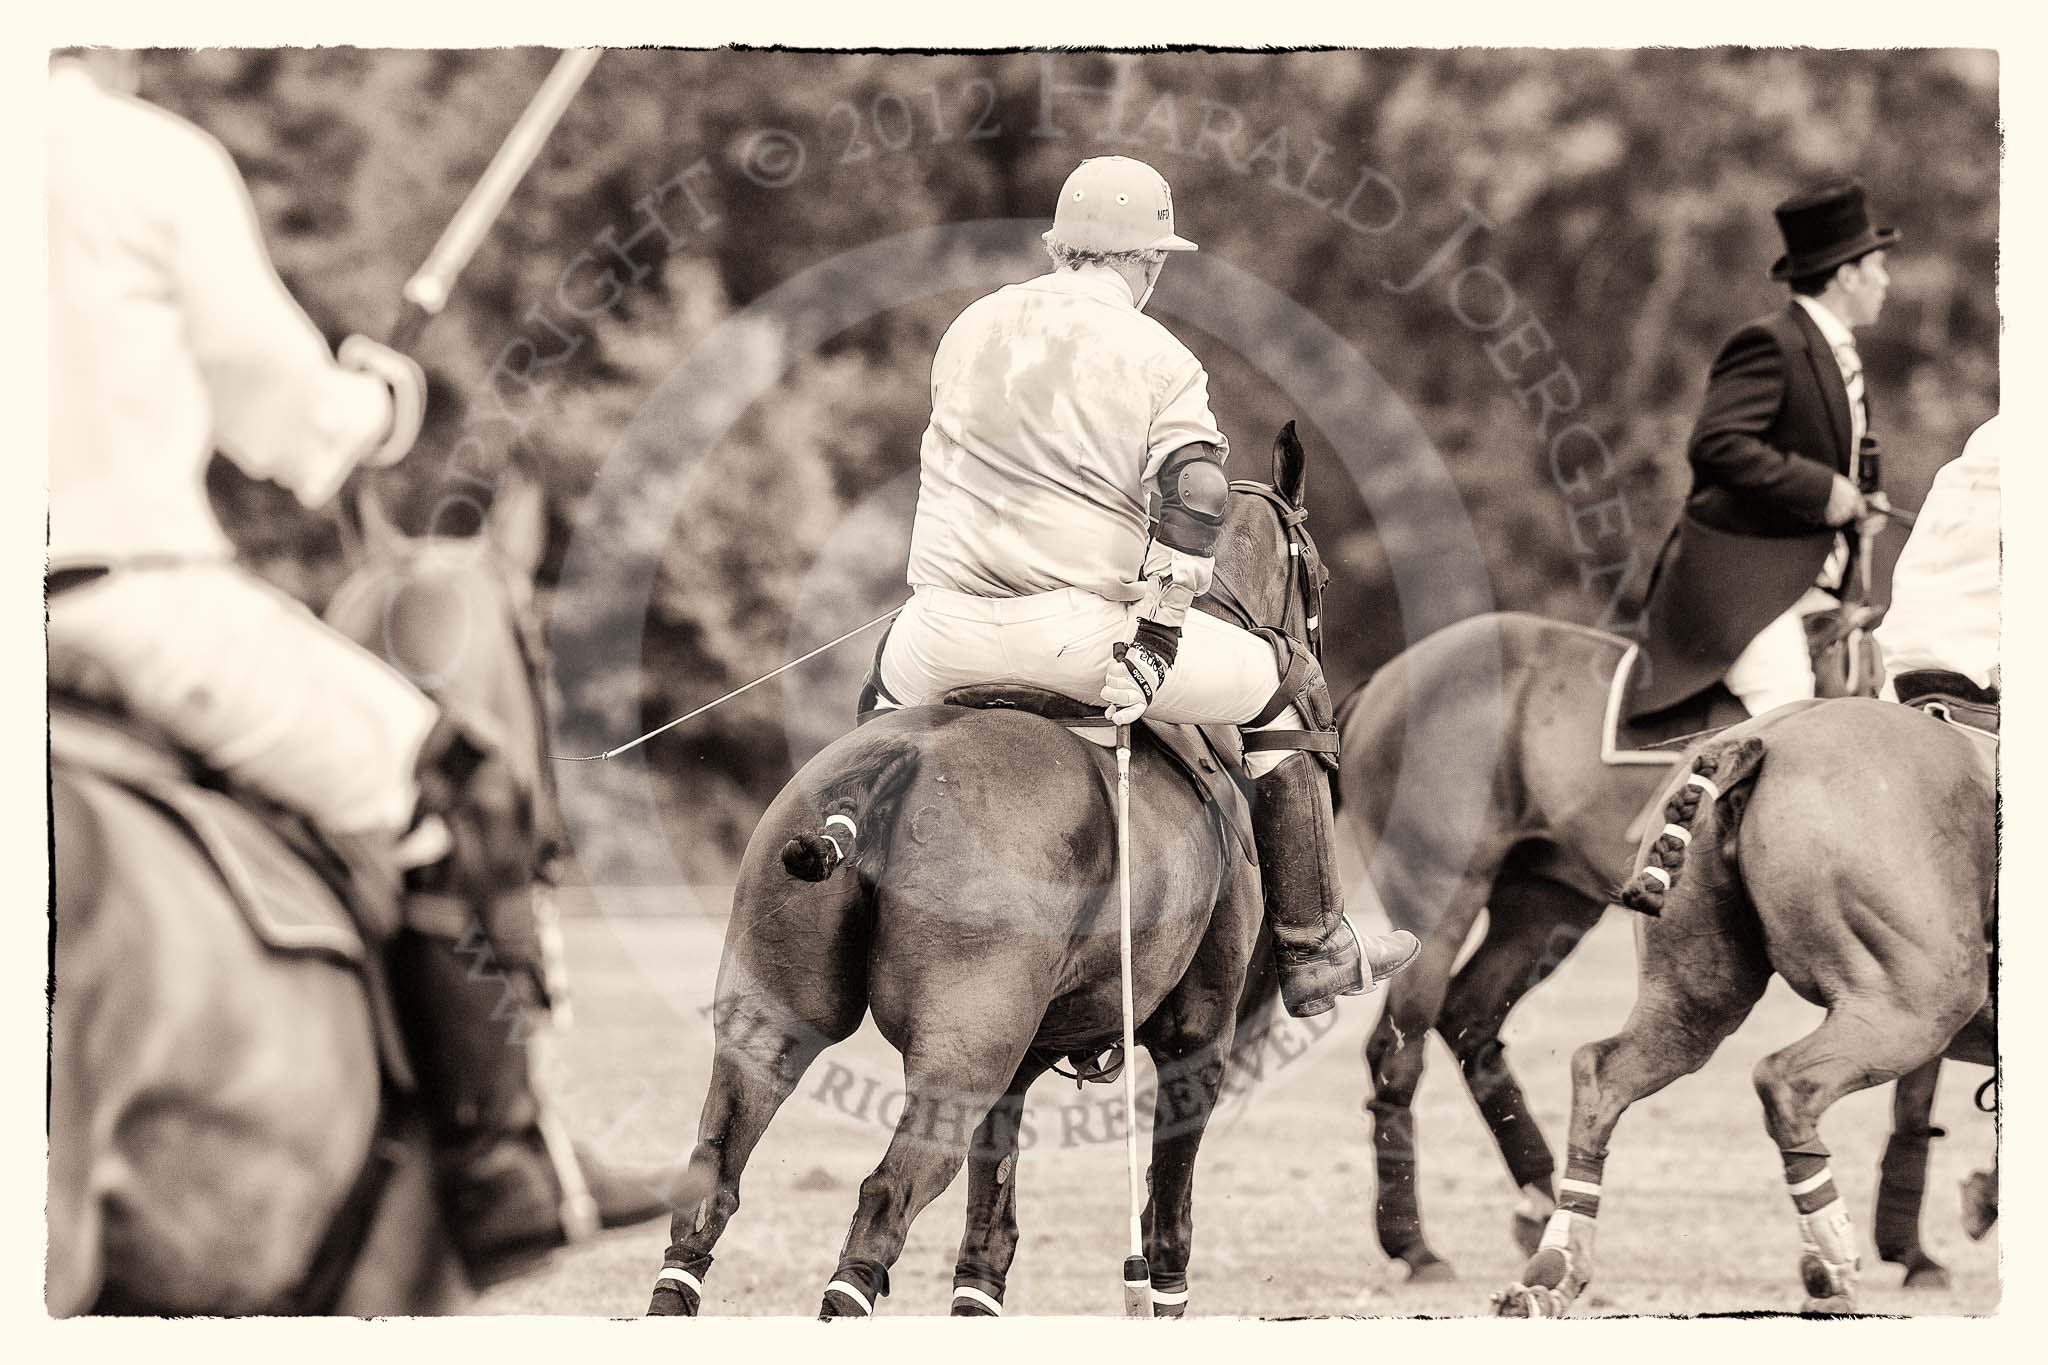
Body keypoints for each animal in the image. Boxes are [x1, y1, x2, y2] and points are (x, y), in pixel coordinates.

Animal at [643, 429, 1327, 1326]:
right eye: (1319, 578)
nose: (1317, 650)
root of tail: (893, 766)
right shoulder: (1195, 1034)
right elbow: (1166, 1208)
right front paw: (1164, 1294)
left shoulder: (1025, 1059)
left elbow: (987, 1230)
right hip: (963, 1050)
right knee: (883, 1201)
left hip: (777, 1012)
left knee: (711, 1181)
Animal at [1335, 613, 1957, 1285]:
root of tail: (1386, 680)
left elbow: (1918, 1085)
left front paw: (1915, 1248)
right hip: (1441, 892)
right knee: (1397, 1048)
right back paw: (1415, 1246)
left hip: (1545, 902)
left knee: (1470, 1018)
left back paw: (1542, 1209)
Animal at [1499, 699, 1990, 1317]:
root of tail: (1764, 737)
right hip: (1914, 1001)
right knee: (1786, 1083)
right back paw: (1833, 1267)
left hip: (1690, 1000)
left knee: (1602, 1072)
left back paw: (1556, 1266)